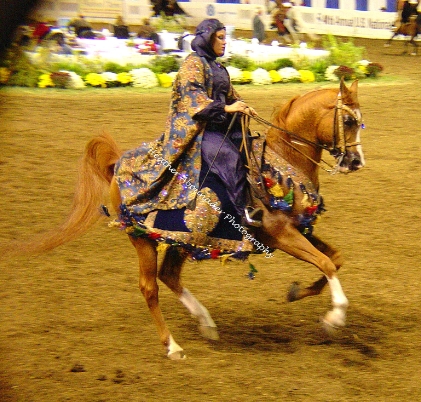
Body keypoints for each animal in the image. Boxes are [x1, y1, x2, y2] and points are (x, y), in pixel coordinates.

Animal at [9, 78, 364, 358]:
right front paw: (336, 317)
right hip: (141, 239)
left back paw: (206, 322)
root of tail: (117, 164)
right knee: (150, 287)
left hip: (183, 238)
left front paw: (298, 293)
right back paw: (173, 347)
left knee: (169, 276)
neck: (280, 164)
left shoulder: (301, 230)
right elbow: (327, 263)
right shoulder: (282, 235)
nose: (356, 161)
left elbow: (336, 259)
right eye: (348, 121)